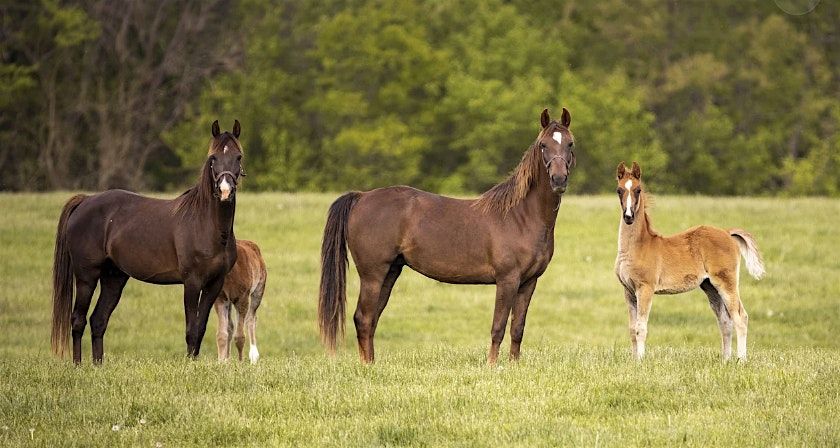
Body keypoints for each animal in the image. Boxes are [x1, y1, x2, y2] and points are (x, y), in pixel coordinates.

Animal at [51, 120, 244, 364]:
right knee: (78, 320)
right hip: (87, 277)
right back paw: (78, 365)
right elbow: (191, 329)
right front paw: (190, 365)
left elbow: (200, 329)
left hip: (114, 278)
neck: (206, 225)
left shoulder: (214, 284)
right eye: (213, 158)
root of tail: (85, 201)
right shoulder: (192, 282)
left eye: (238, 157)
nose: (225, 191)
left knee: (98, 320)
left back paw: (98, 365)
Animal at [318, 108, 576, 364]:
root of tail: (361, 197)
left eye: (570, 143)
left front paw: (514, 365)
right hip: (372, 274)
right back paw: (367, 367)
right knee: (363, 318)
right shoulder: (507, 279)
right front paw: (492, 366)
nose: (558, 179)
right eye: (543, 145)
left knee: (371, 319)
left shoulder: (528, 282)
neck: (520, 216)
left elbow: (517, 329)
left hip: (390, 272)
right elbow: (498, 327)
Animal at [612, 161, 764, 360]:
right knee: (725, 321)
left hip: (726, 282)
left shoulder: (645, 288)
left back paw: (741, 360)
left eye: (638, 190)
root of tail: (727, 232)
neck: (638, 246)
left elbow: (641, 328)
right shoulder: (628, 291)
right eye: (619, 190)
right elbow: (631, 329)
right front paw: (634, 360)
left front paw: (641, 361)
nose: (628, 216)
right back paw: (725, 360)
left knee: (740, 317)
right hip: (710, 286)